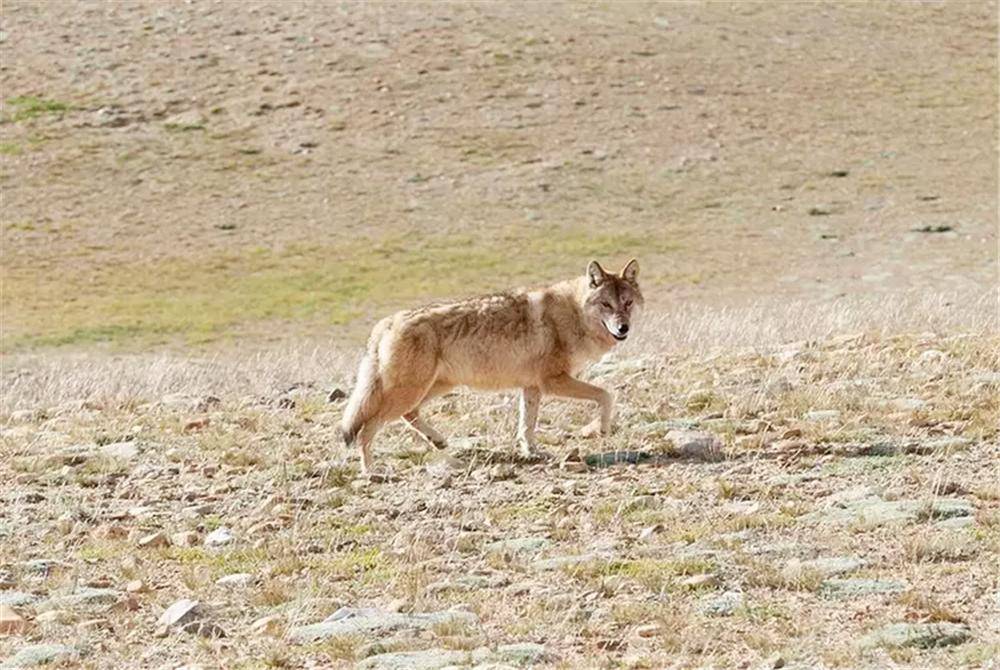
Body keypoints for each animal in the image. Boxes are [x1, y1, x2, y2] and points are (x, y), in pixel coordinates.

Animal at [340, 260, 644, 476]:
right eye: (606, 304)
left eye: (627, 303)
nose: (623, 328)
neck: (572, 314)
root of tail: (386, 323)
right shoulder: (553, 381)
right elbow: (606, 395)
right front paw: (598, 430)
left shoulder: (532, 387)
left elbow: (527, 426)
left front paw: (533, 453)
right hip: (410, 391)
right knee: (367, 429)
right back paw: (372, 472)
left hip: (432, 388)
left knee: (409, 415)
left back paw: (439, 442)